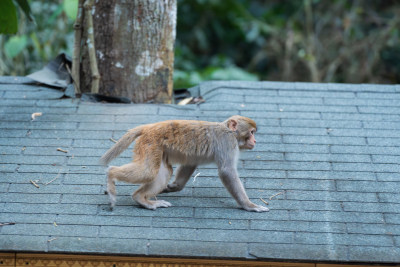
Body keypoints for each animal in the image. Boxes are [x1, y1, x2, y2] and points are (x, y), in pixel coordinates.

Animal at [100, 115, 268, 214]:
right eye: (251, 132)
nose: (254, 141)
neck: (229, 130)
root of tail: (149, 127)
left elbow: (190, 163)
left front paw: (173, 187)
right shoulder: (227, 143)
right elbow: (227, 171)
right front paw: (249, 205)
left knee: (163, 172)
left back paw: (141, 198)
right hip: (150, 144)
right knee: (148, 172)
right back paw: (111, 174)